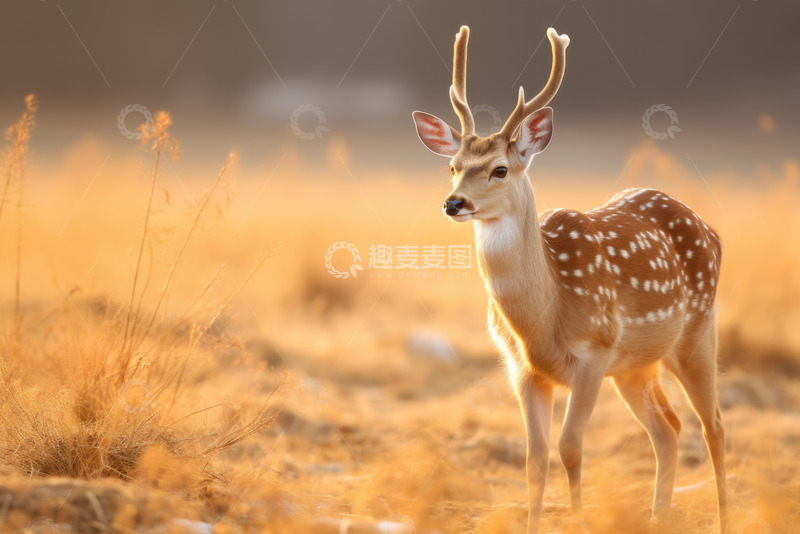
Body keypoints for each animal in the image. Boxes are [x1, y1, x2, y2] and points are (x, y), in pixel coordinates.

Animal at [412, 26, 728, 534]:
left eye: (500, 168)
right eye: (452, 166)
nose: (453, 203)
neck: (544, 318)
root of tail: (710, 230)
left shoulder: (594, 352)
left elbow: (570, 448)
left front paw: (578, 519)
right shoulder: (521, 368)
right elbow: (535, 459)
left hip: (696, 332)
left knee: (712, 425)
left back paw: (724, 518)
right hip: (636, 366)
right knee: (668, 428)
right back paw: (658, 518)